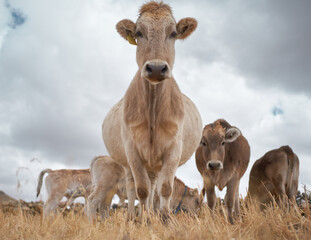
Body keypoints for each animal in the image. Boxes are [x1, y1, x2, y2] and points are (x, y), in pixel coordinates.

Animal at [102, 1, 202, 221]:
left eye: (173, 33)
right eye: (139, 33)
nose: (156, 68)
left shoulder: (174, 148)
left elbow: (164, 189)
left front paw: (164, 219)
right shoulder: (132, 150)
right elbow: (142, 190)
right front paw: (142, 220)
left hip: (155, 164)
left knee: (155, 187)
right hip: (128, 164)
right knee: (133, 188)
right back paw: (134, 216)